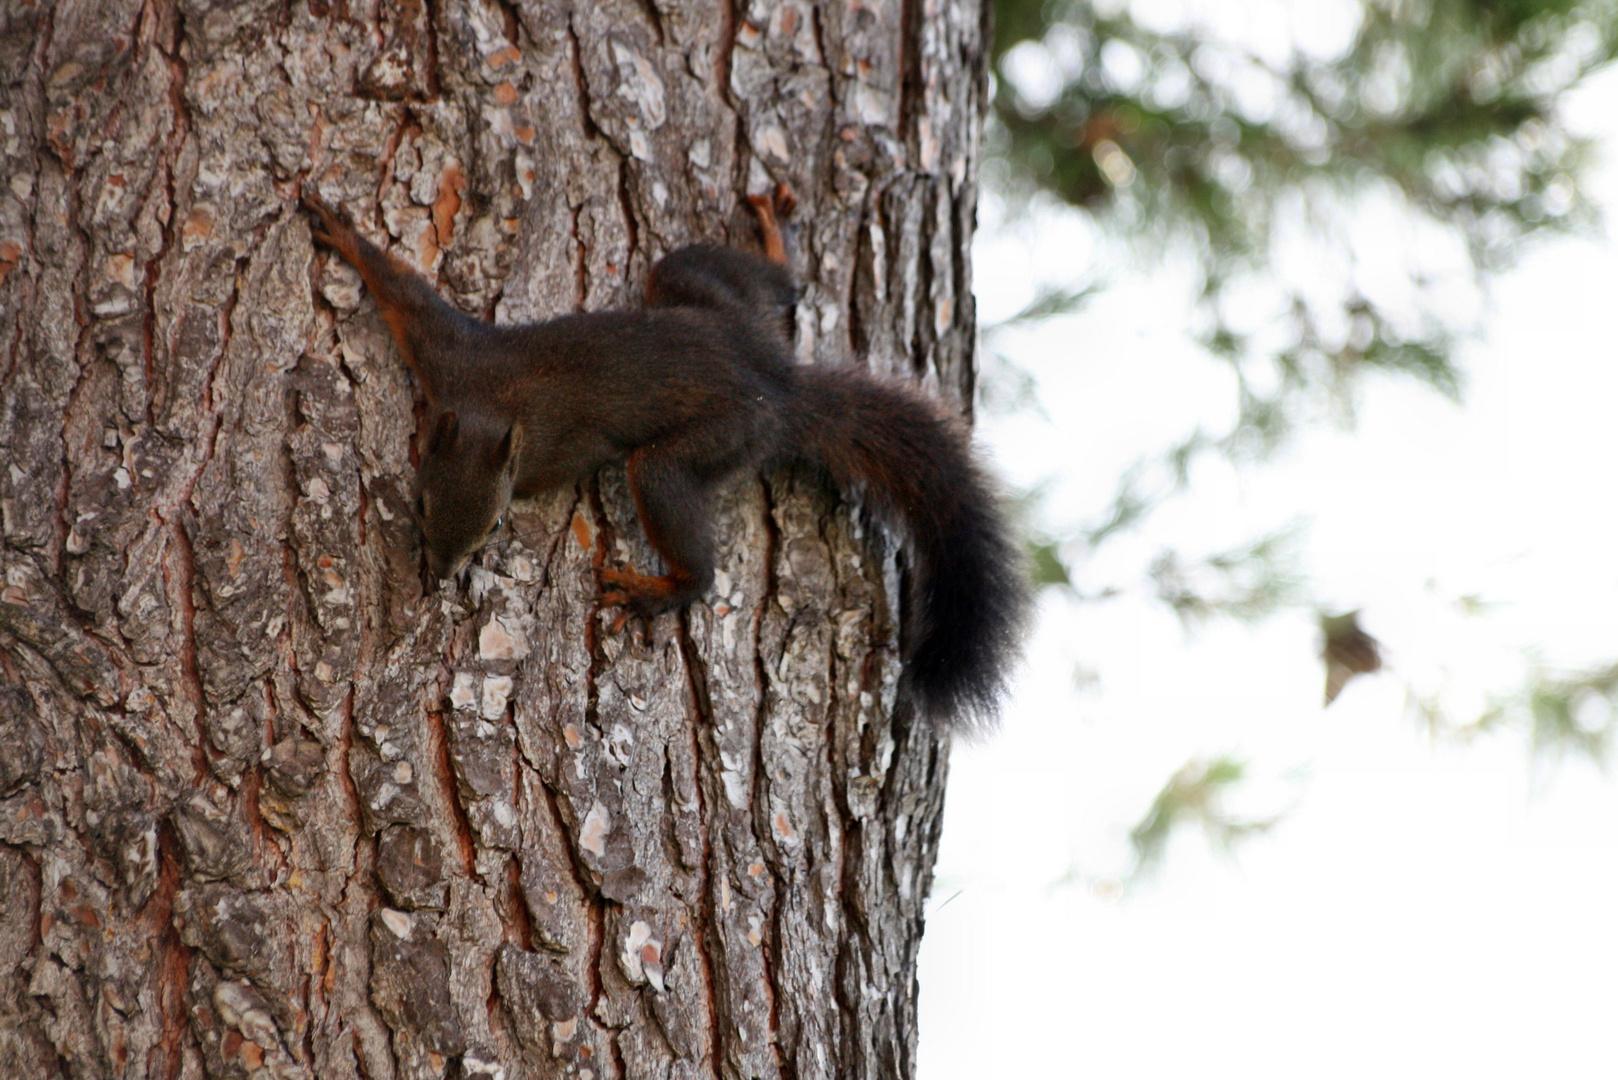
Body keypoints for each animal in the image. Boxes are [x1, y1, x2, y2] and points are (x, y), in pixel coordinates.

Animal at [299, 187, 1029, 725]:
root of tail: (779, 387)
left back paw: (659, 590)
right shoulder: (453, 358)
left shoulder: (517, 413)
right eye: (422, 501)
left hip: (714, 441)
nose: (442, 571)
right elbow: (403, 293)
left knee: (680, 523)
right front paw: (342, 234)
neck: (496, 410)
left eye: (496, 524)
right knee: (762, 284)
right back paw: (776, 241)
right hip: (696, 288)